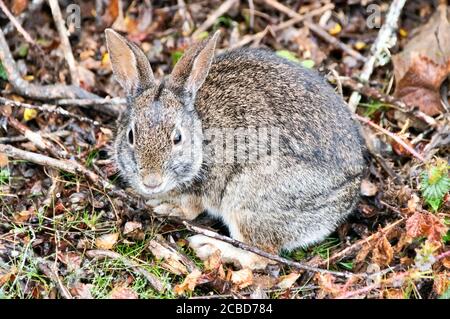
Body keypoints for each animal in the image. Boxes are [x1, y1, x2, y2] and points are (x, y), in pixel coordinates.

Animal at [105, 29, 366, 270]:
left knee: (261, 255)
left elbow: (191, 206)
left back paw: (210, 247)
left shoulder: (207, 183)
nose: (151, 182)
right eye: (131, 136)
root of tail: (348, 192)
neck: (200, 127)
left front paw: (167, 206)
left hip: (249, 196)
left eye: (177, 138)